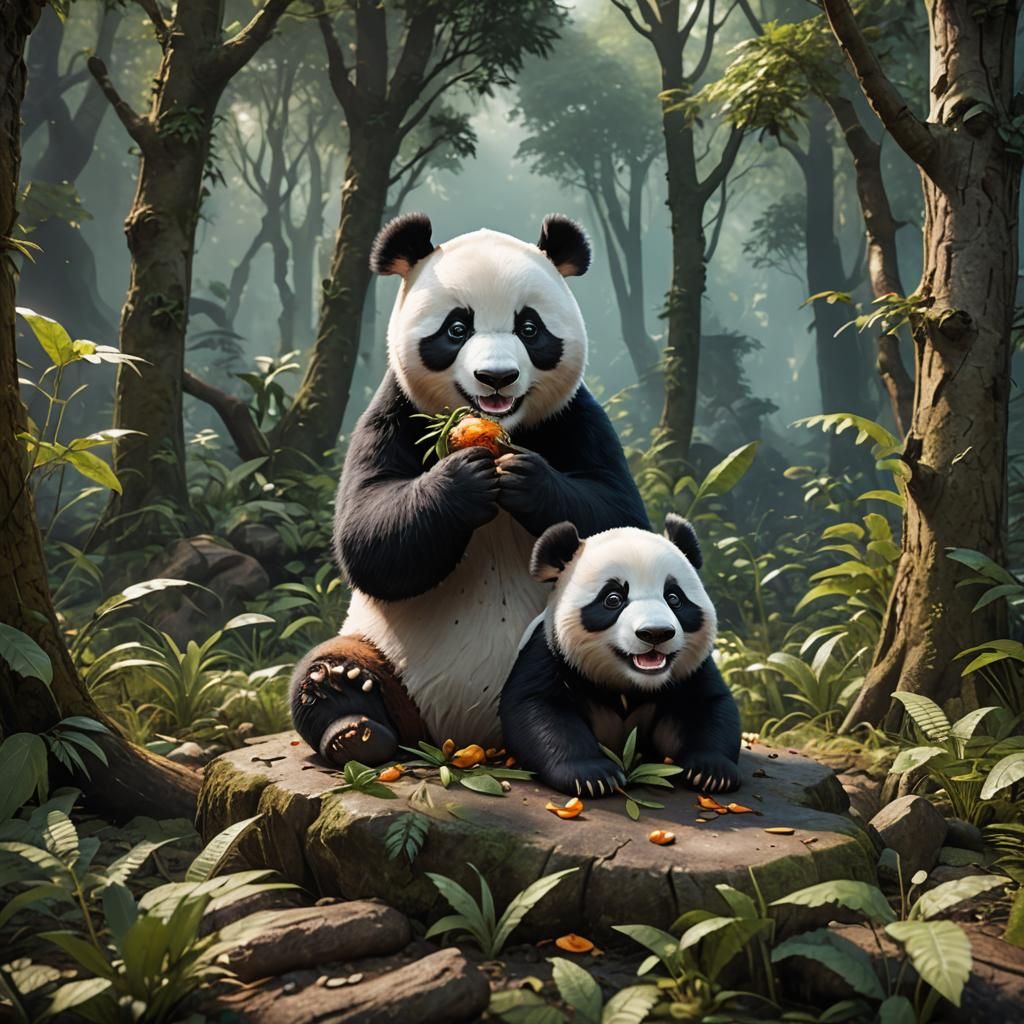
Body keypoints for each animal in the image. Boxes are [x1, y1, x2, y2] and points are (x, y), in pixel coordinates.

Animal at [290, 213, 650, 767]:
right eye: (457, 329)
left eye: (529, 328)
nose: (496, 377)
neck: (502, 426)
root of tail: (467, 741)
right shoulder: (394, 410)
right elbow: (368, 538)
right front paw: (465, 480)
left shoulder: (576, 417)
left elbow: (619, 514)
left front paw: (527, 479)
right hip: (383, 655)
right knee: (332, 667)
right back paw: (351, 722)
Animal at [499, 515, 741, 797]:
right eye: (613, 598)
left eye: (674, 598)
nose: (655, 633)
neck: (631, 683)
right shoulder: (549, 653)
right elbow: (539, 708)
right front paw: (592, 775)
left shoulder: (692, 670)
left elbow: (707, 706)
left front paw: (712, 771)